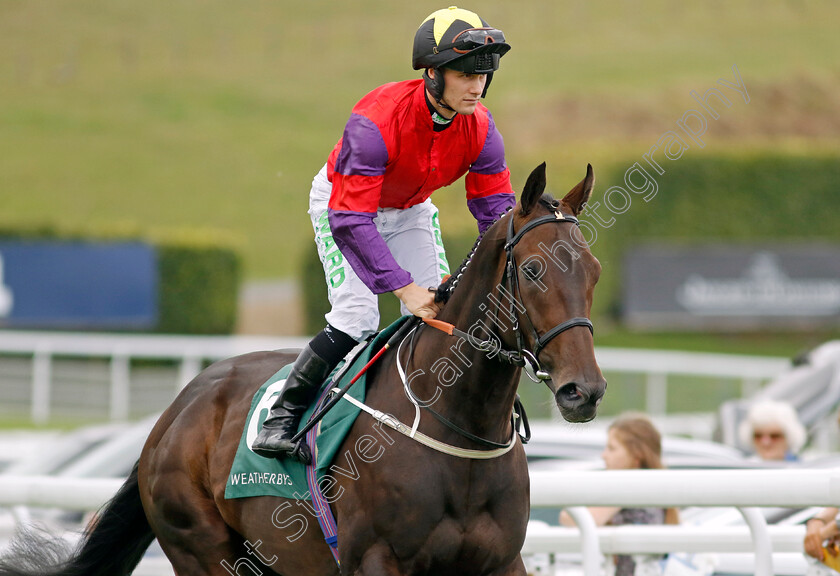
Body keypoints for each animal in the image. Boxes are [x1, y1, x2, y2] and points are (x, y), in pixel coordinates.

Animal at [0, 162, 604, 576]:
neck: (458, 425)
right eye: (532, 269)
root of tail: (174, 411)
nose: (586, 390)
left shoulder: (501, 561)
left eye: (595, 270)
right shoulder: (376, 560)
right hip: (204, 550)